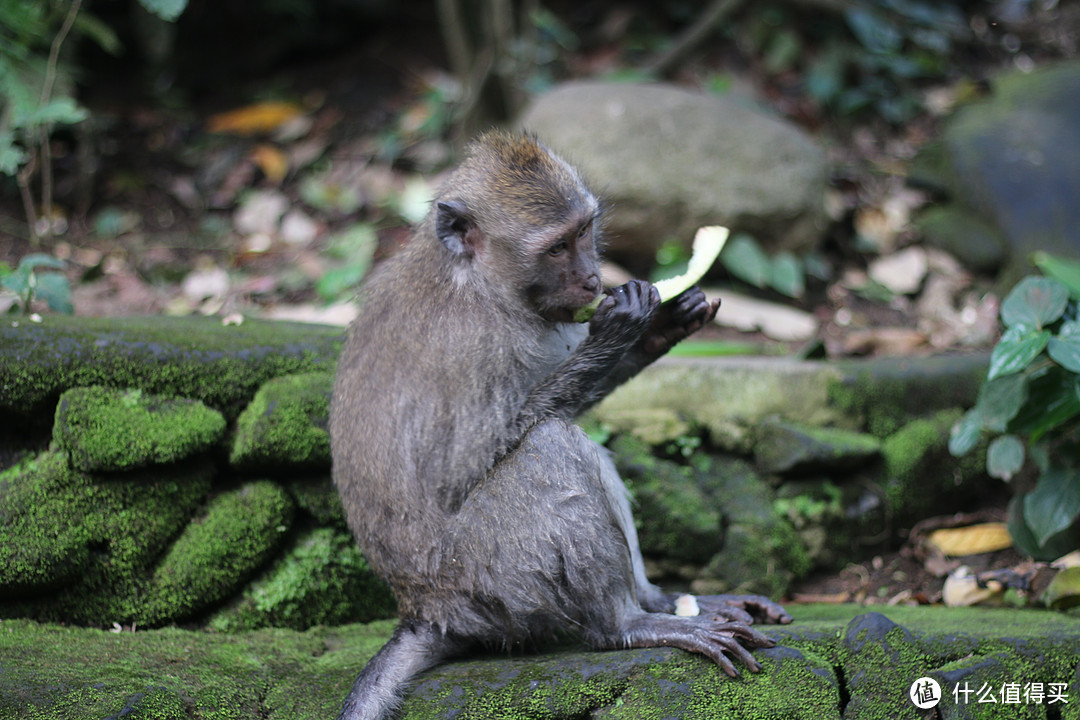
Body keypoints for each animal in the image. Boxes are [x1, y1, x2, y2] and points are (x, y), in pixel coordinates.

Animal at [326, 131, 786, 720]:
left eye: (584, 231)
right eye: (555, 247)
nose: (593, 279)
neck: (481, 284)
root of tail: (427, 610)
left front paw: (661, 325)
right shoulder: (476, 346)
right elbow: (472, 464)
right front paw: (621, 328)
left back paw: (662, 599)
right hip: (488, 582)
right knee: (548, 446)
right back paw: (626, 624)